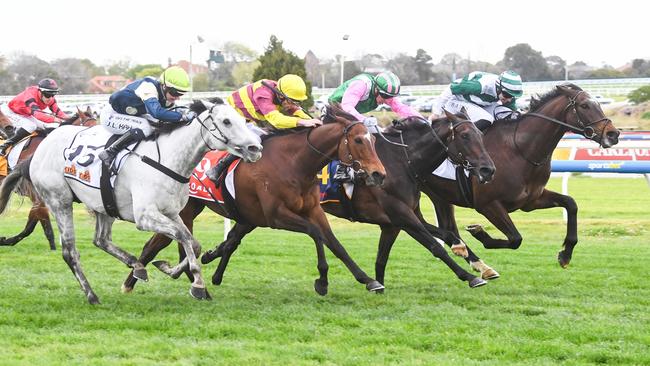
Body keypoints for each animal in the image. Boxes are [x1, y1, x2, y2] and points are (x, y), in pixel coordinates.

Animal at [121, 102, 384, 294]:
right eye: (358, 140)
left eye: (373, 140)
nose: (378, 174)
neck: (295, 163)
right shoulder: (276, 216)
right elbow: (315, 233)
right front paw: (322, 280)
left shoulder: (312, 210)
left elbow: (336, 244)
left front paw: (368, 280)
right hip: (180, 211)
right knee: (155, 244)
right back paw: (132, 280)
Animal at [418, 84, 620, 270]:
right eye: (585, 105)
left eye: (598, 104)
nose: (613, 134)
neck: (520, 150)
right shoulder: (487, 204)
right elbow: (516, 238)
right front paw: (479, 233)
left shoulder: (531, 201)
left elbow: (571, 203)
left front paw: (566, 253)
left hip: (440, 196)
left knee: (448, 227)